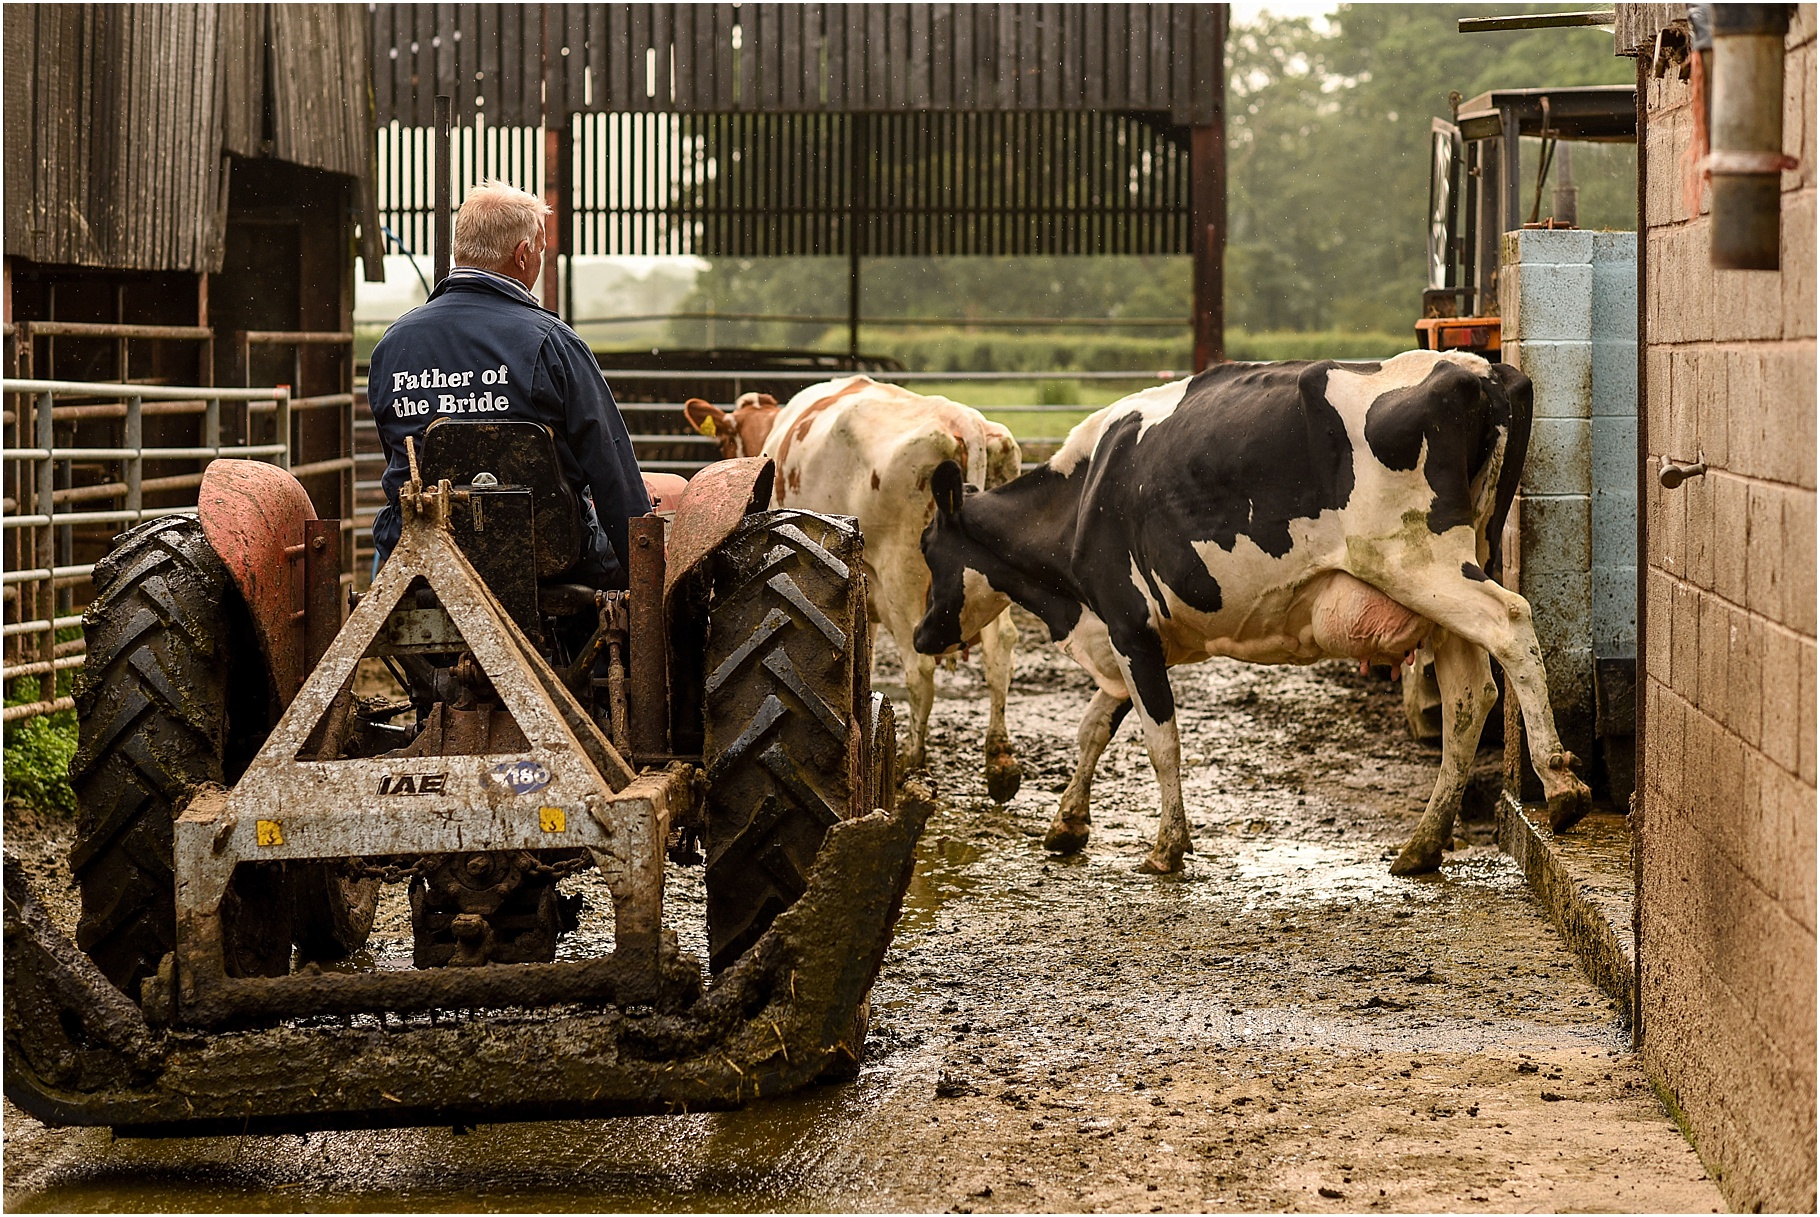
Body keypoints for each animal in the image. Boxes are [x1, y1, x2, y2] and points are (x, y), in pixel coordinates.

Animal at [684, 374, 1026, 800]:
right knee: (1000, 652)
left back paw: (911, 764)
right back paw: (1000, 763)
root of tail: (961, 418)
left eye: (724, 443)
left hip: (903, 577)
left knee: (920, 670)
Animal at [917, 351, 1587, 873]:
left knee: (1510, 623)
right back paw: (1423, 844)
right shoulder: (1119, 634)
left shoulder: (1128, 624)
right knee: (1469, 695)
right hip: (1446, 576)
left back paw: (1559, 784)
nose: (923, 635)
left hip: (1419, 562)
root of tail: (1483, 369)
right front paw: (1066, 824)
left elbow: (1160, 739)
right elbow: (1092, 728)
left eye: (929, 549)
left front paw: (1167, 847)